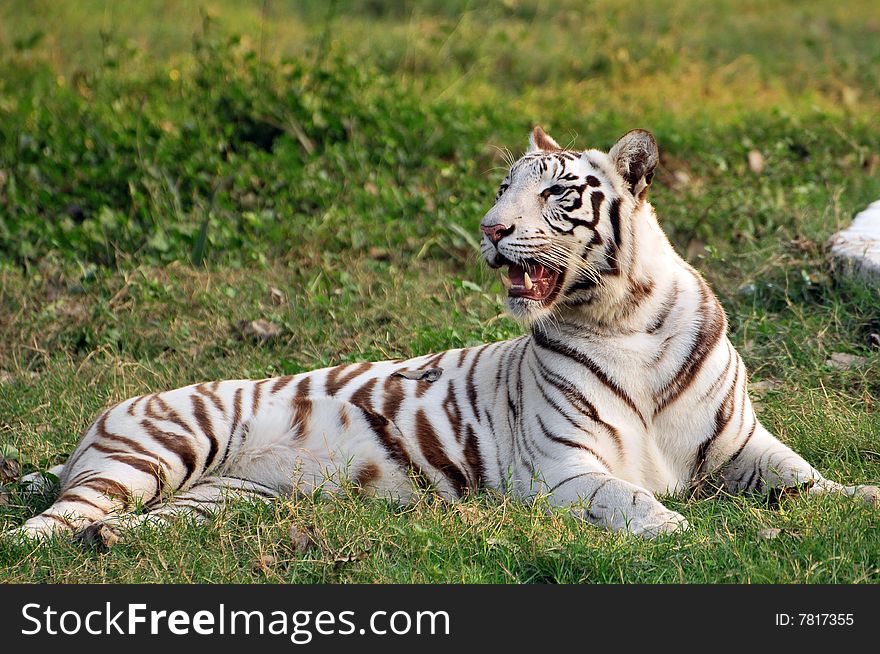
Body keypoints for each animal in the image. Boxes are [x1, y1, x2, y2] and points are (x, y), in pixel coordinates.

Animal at [8, 124, 880, 544]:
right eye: (501, 188)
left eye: (558, 193)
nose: (490, 230)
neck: (622, 317)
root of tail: (106, 414)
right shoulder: (562, 467)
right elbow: (625, 496)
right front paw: (679, 531)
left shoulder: (740, 445)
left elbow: (808, 479)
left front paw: (858, 500)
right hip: (155, 451)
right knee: (42, 526)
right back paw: (49, 544)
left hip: (213, 501)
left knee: (133, 526)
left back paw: (110, 546)